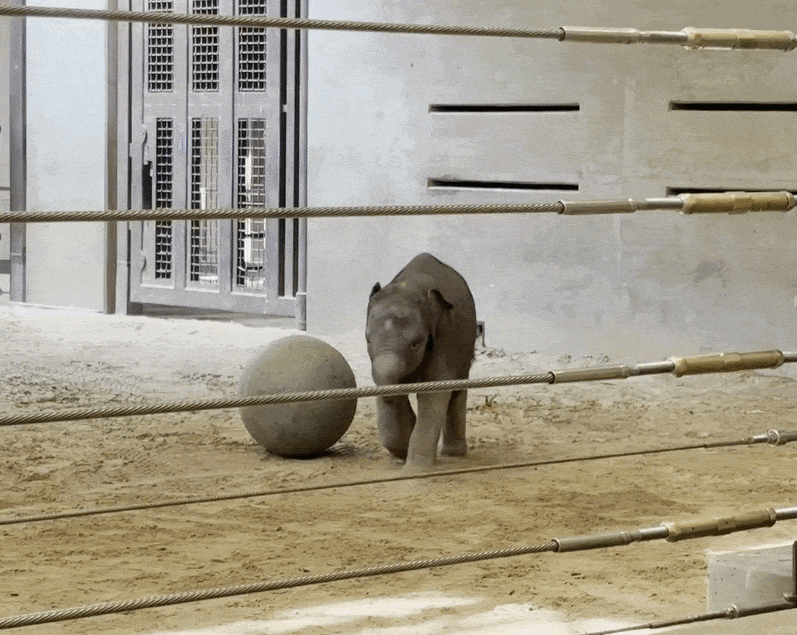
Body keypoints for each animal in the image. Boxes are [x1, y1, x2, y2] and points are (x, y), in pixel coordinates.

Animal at [366, 253, 477, 472]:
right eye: (368, 340)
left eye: (415, 343)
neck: (411, 285)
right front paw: (401, 453)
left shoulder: (445, 335)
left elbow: (434, 393)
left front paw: (415, 469)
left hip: (465, 347)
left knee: (457, 391)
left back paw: (454, 453)